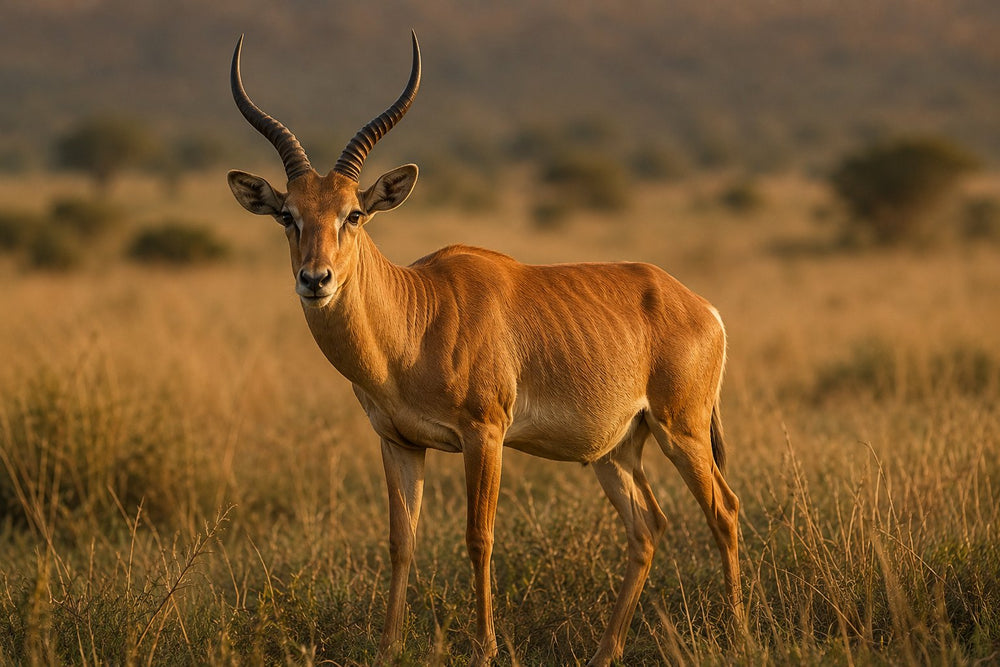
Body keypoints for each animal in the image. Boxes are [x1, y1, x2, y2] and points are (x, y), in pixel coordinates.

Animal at [227, 31, 743, 666]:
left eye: (354, 213)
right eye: (287, 215)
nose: (315, 279)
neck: (416, 319)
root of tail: (700, 306)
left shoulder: (485, 434)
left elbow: (479, 537)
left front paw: (485, 648)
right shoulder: (398, 442)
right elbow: (400, 541)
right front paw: (388, 647)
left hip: (682, 431)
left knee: (724, 513)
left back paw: (740, 633)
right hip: (617, 450)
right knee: (648, 527)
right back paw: (606, 651)